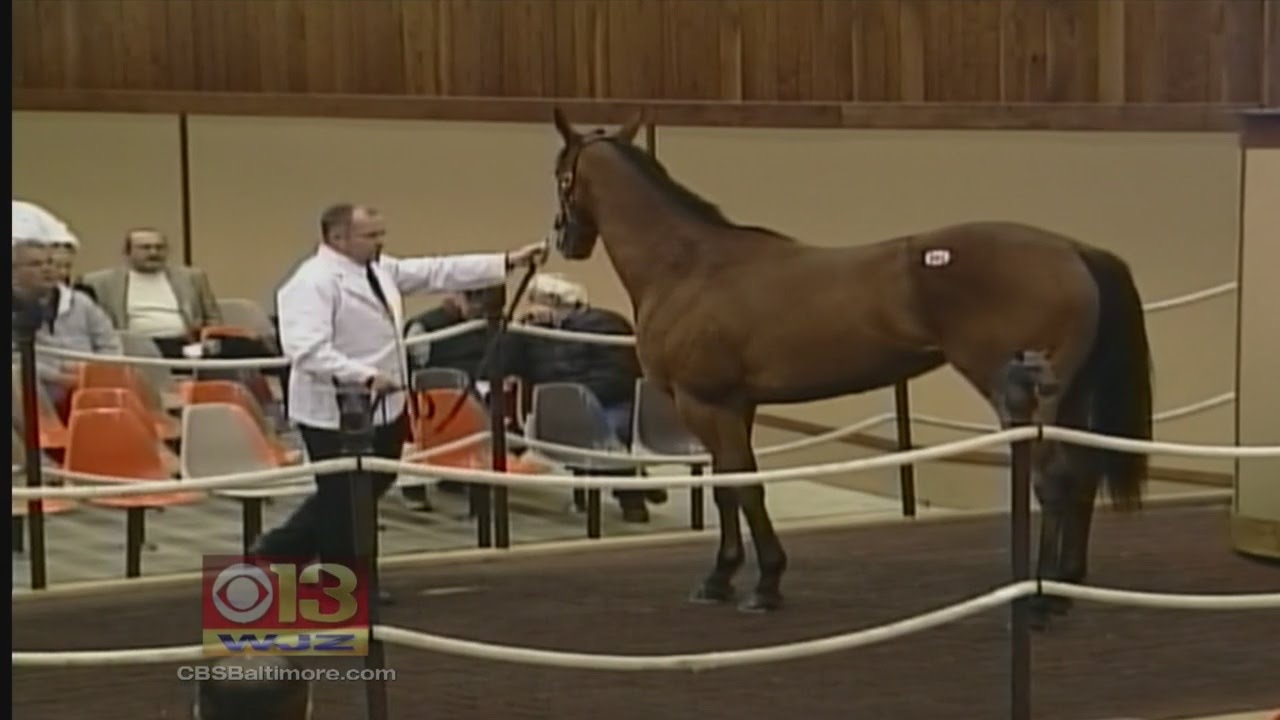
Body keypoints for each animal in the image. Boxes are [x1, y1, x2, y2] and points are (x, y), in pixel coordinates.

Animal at [545, 108, 1154, 627]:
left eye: (559, 175)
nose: (564, 238)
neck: (689, 266)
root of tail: (1073, 250)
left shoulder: (704, 402)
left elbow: (744, 489)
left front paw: (762, 585)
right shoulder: (735, 405)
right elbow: (730, 486)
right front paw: (723, 578)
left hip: (1023, 397)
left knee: (1054, 480)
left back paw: (1040, 599)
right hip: (1065, 395)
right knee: (1080, 474)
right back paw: (1066, 587)